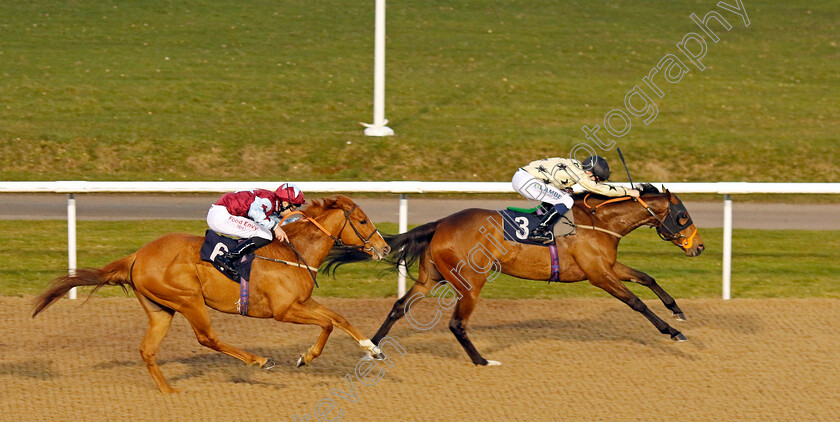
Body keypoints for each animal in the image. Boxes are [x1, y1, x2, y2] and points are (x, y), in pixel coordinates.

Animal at [29, 195, 390, 392]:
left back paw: (169, 392)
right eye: (362, 220)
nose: (385, 248)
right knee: (207, 338)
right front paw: (307, 357)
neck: (292, 251)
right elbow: (328, 323)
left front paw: (372, 349)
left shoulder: (303, 301)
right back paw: (259, 360)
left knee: (148, 350)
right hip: (188, 300)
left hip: (161, 309)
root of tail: (137, 256)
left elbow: (338, 317)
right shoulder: (284, 310)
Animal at [326, 185, 704, 366]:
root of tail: (441, 223)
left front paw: (677, 311)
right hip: (470, 282)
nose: (699, 248)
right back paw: (482, 360)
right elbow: (636, 302)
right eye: (683, 216)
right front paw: (673, 332)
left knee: (398, 307)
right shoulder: (598, 274)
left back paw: (373, 348)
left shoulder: (606, 266)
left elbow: (646, 277)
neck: (597, 222)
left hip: (430, 278)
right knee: (456, 323)